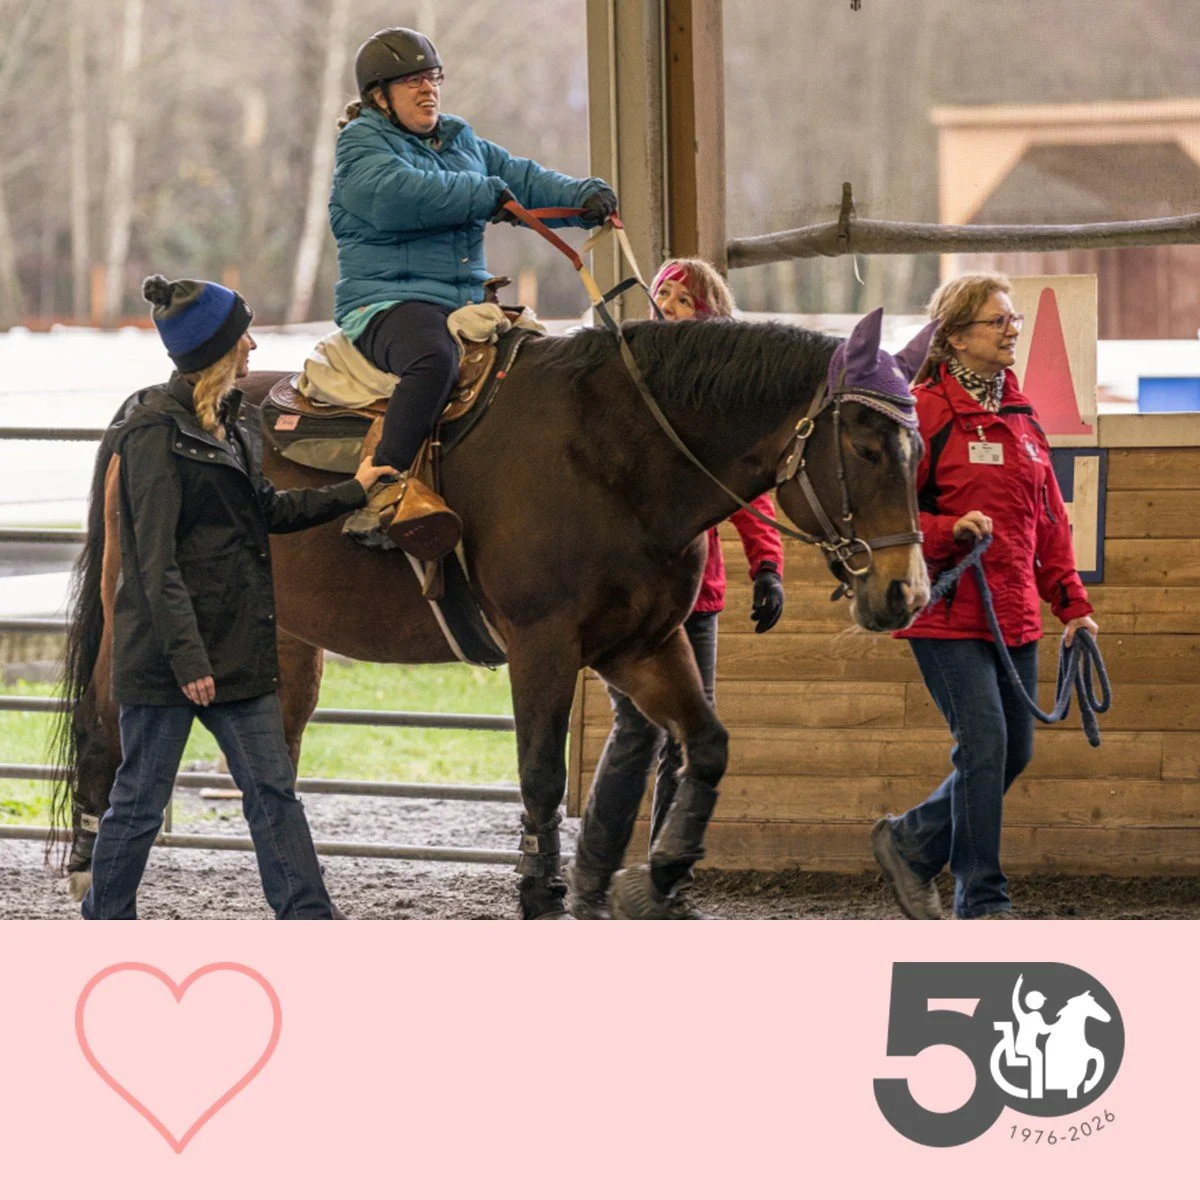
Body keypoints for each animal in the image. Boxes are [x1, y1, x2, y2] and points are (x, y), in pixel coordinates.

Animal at [50, 308, 931, 918]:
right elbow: (540, 772)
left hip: (289, 645)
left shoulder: (643, 645)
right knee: (104, 725)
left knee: (275, 755)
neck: (615, 457)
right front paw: (541, 887)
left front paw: (666, 867)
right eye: (864, 447)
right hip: (136, 622)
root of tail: (147, 409)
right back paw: (88, 862)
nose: (905, 592)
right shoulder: (545, 647)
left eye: (917, 448)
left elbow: (708, 744)